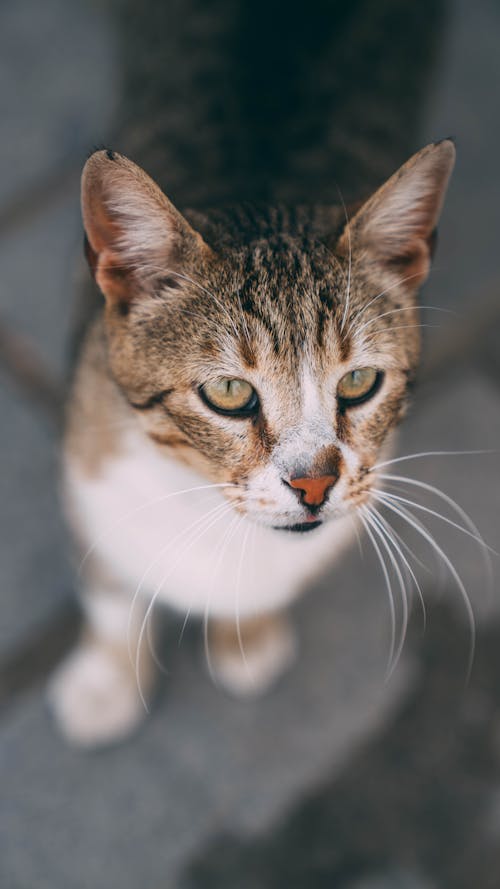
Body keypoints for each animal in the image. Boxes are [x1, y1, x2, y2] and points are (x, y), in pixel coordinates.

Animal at [47, 0, 454, 748]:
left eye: (359, 383)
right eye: (229, 392)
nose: (315, 485)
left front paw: (247, 631)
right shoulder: (86, 452)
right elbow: (110, 582)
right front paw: (109, 676)